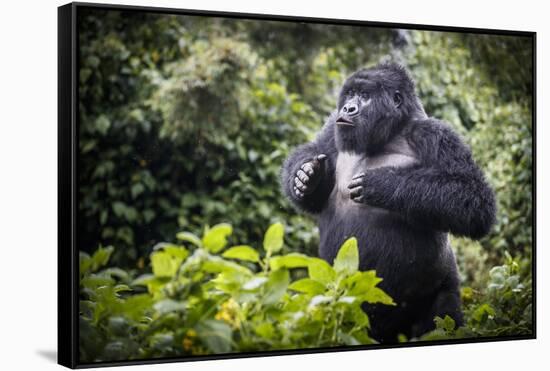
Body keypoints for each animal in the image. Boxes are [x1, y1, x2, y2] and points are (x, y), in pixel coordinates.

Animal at [282, 62, 498, 344]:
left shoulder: (437, 135)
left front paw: (383, 184)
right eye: (350, 94)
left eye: (365, 96)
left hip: (444, 287)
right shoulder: (332, 125)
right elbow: (314, 151)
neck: (392, 130)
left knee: (443, 319)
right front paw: (306, 177)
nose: (348, 108)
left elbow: (474, 200)